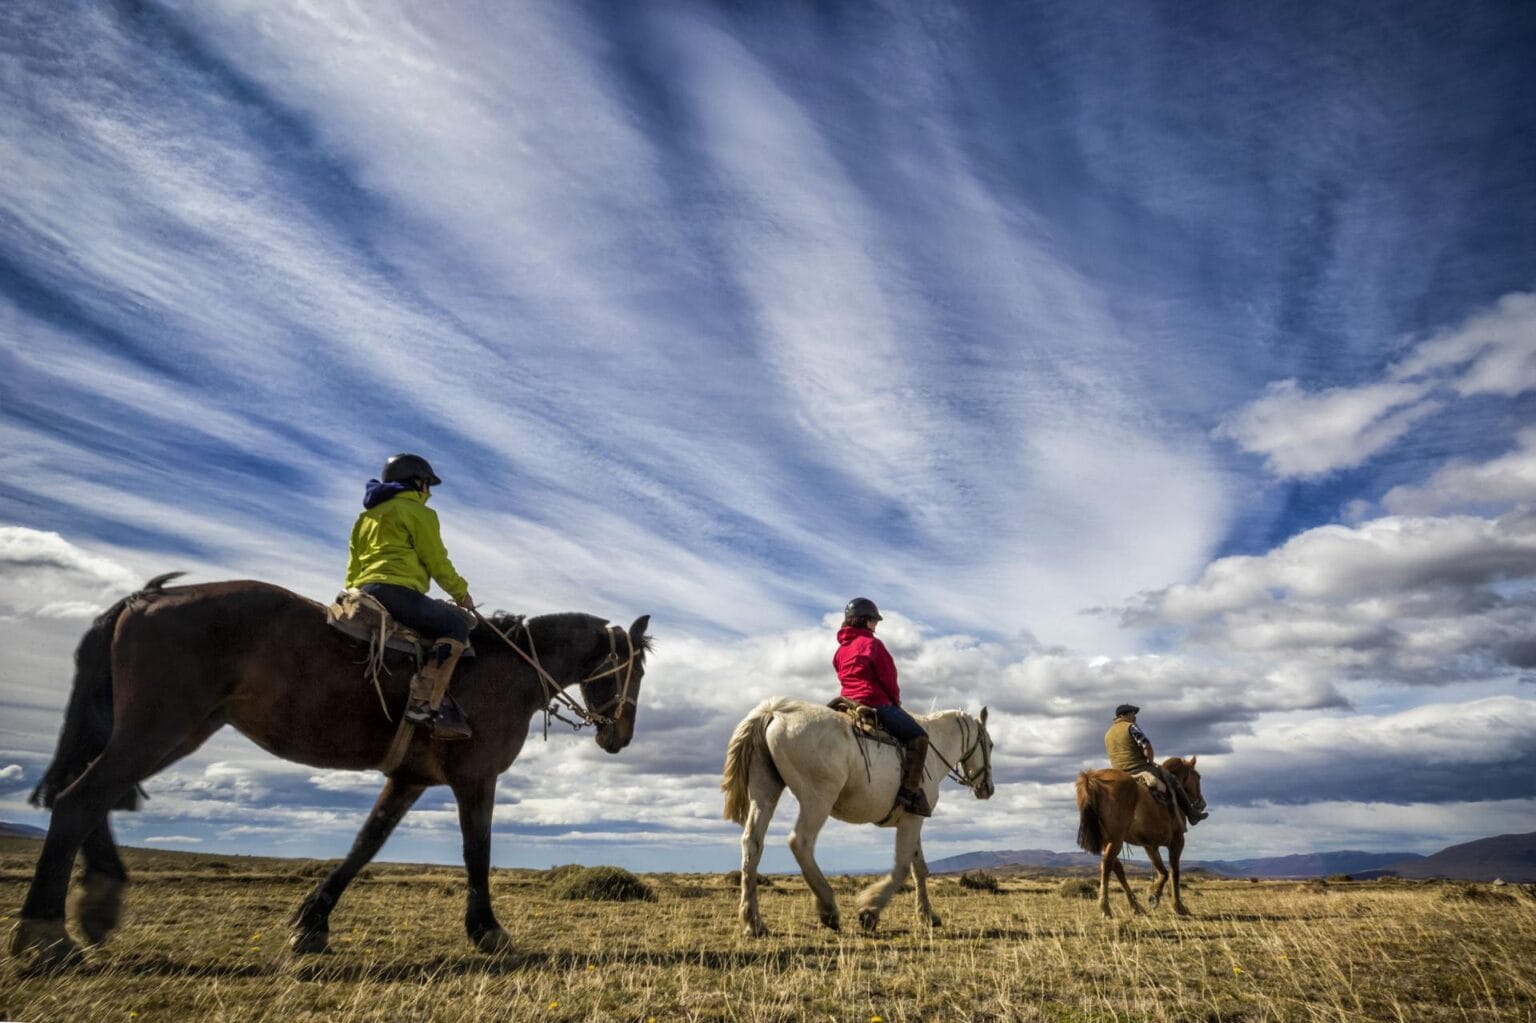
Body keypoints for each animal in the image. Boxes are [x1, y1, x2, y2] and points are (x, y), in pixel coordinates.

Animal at [10, 574, 651, 969]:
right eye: (635, 671)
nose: (620, 737)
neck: (507, 670)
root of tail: (142, 601)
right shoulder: (476, 778)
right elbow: (477, 852)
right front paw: (488, 931)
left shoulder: (409, 779)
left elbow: (365, 844)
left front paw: (311, 924)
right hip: (161, 726)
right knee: (80, 799)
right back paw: (46, 934)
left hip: (175, 729)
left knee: (88, 798)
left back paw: (95, 904)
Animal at [721, 699, 993, 936]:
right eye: (990, 745)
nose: (988, 789)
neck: (935, 748)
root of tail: (776, 713)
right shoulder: (912, 821)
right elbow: (903, 867)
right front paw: (870, 911)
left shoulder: (913, 818)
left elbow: (919, 868)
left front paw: (927, 915)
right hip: (817, 800)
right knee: (800, 842)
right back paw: (829, 909)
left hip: (765, 791)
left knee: (752, 844)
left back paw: (753, 922)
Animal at [1074, 757, 1202, 918]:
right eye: (1198, 777)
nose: (1202, 803)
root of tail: (1091, 778)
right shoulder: (1177, 841)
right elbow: (1174, 873)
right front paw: (1178, 906)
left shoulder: (1150, 845)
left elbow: (1163, 872)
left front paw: (1154, 895)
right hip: (1116, 840)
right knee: (1107, 865)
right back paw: (1105, 908)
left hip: (1108, 840)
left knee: (1117, 868)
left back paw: (1135, 906)